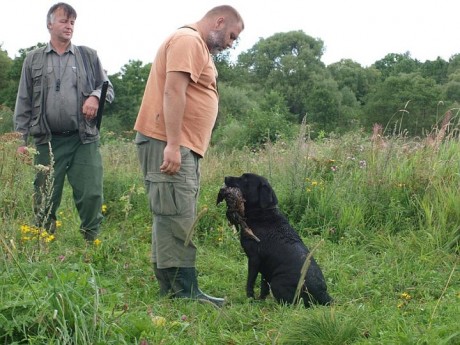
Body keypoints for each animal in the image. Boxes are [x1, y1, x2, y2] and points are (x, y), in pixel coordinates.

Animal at [217, 172, 332, 306]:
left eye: (245, 178)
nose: (226, 177)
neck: (262, 214)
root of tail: (324, 295)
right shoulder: (265, 266)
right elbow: (263, 286)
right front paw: (260, 300)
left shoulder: (254, 259)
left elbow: (250, 282)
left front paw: (250, 299)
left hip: (277, 282)